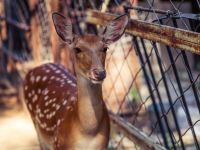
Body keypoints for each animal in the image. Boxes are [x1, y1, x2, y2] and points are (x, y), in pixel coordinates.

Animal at [23, 12, 128, 150]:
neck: (87, 132)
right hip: (36, 124)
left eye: (105, 48)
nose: (99, 73)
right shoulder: (58, 144)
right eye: (77, 49)